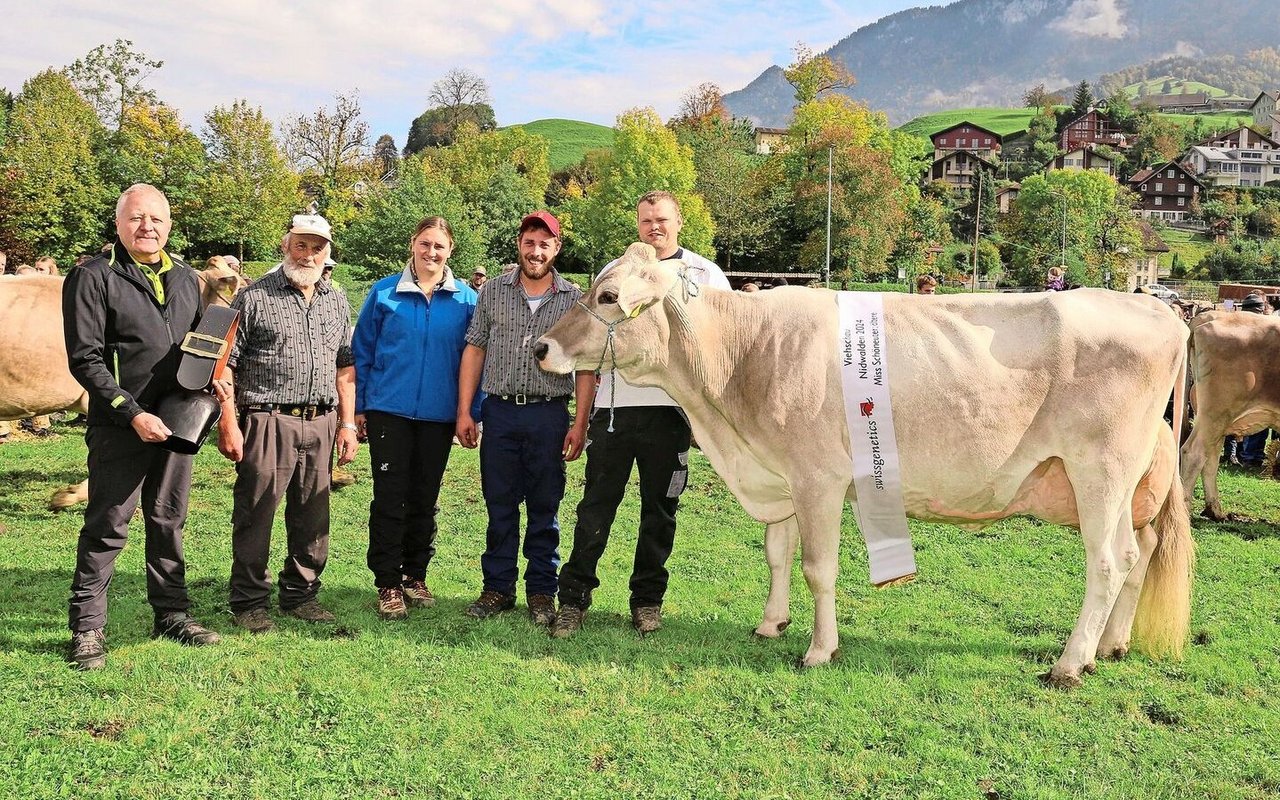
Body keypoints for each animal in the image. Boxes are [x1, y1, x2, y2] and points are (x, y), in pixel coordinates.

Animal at [535, 241, 1192, 686]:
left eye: (608, 297)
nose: (539, 347)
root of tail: (1166, 313)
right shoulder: (781, 476)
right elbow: (777, 554)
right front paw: (771, 623)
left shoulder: (817, 478)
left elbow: (817, 568)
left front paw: (819, 650)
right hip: (1124, 486)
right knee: (1135, 556)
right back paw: (1110, 647)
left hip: (1100, 470)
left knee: (1106, 562)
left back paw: (1070, 663)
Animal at [1177, 308, 1280, 522]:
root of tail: (1210, 315)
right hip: (1216, 412)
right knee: (1194, 453)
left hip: (1214, 418)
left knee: (1210, 457)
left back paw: (1214, 511)